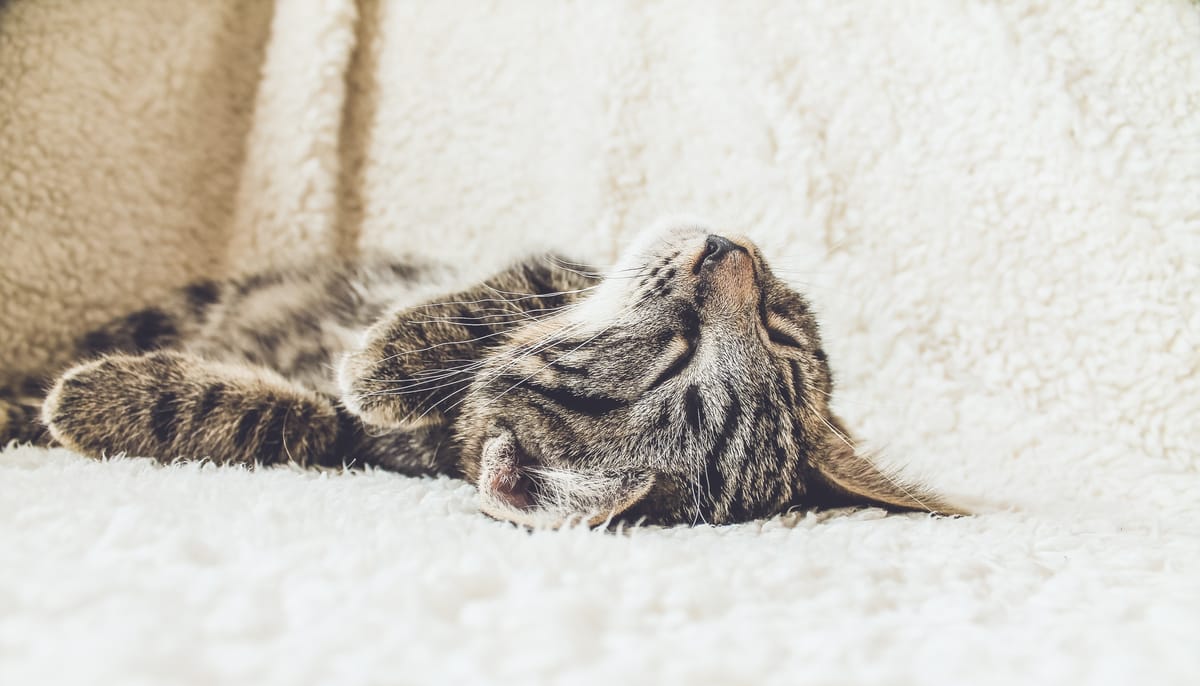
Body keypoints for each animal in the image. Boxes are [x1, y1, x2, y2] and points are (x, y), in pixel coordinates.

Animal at [0, 225, 960, 525]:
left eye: (674, 353)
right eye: (778, 329)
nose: (729, 252)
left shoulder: (350, 442)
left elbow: (291, 420)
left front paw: (93, 403)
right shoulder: (550, 264)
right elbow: (503, 293)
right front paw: (387, 358)